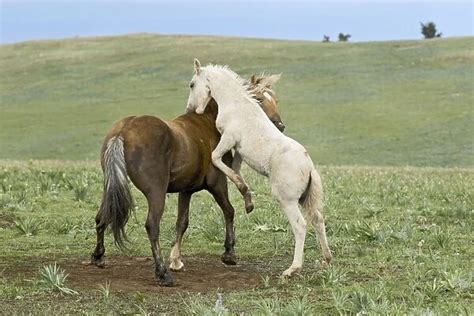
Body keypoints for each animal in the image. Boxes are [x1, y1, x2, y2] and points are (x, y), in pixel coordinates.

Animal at [90, 74, 284, 286]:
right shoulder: (217, 183)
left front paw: (176, 260)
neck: (209, 122)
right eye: (259, 99)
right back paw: (162, 273)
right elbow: (229, 211)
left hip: (110, 185)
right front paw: (229, 253)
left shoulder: (186, 190)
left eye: (274, 99)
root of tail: (123, 131)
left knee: (102, 216)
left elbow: (182, 222)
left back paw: (98, 256)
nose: (280, 126)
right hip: (156, 192)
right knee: (152, 225)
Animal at [187, 59, 332, 276]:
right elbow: (235, 169)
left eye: (192, 84)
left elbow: (216, 159)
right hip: (306, 198)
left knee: (300, 226)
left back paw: (292, 269)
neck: (237, 104)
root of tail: (309, 167)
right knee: (318, 219)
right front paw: (247, 199)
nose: (190, 108)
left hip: (287, 200)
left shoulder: (228, 138)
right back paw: (326, 259)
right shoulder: (239, 150)